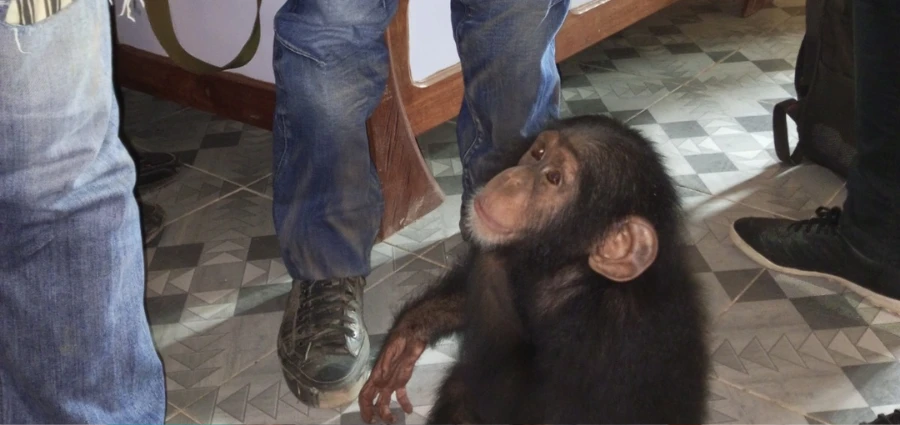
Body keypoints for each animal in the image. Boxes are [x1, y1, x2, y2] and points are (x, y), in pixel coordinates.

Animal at [356, 114, 708, 422]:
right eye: (537, 154)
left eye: (553, 178)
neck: (574, 272)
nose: (513, 177)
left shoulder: (606, 340)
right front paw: (407, 336)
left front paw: (494, 262)